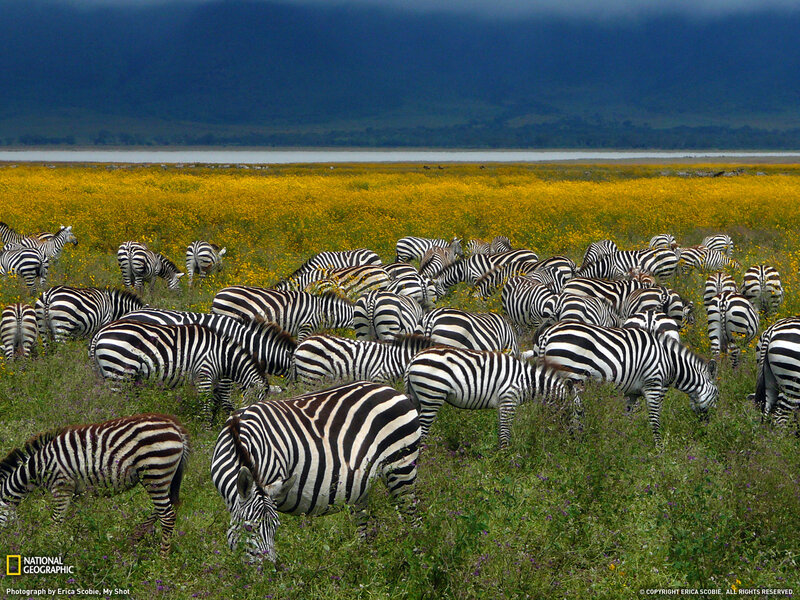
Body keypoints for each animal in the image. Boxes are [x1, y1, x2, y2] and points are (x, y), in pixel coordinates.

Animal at [0, 414, 189, 557]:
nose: (7, 548)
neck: (39, 467)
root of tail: (176, 428)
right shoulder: (78, 492)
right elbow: (76, 520)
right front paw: (77, 545)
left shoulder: (62, 486)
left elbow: (56, 522)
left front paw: (49, 548)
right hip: (162, 478)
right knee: (161, 509)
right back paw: (133, 538)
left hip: (155, 472)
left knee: (167, 515)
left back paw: (162, 560)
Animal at [90, 321, 269, 424]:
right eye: (256, 401)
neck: (222, 356)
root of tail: (101, 331)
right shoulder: (204, 373)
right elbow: (207, 404)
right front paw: (205, 428)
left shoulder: (216, 380)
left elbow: (220, 402)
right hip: (119, 372)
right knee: (114, 403)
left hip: (112, 373)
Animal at [211, 381, 420, 562]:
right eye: (248, 528)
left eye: (276, 527)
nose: (270, 571)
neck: (238, 441)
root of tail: (395, 391)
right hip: (363, 487)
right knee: (363, 527)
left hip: (401, 467)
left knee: (412, 518)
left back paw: (414, 562)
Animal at [404, 347, 583, 448]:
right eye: (579, 412)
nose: (579, 441)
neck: (526, 381)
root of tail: (413, 359)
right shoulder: (509, 401)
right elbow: (505, 433)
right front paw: (505, 459)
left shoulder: (502, 404)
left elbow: (501, 431)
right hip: (432, 396)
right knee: (422, 432)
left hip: (418, 398)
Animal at [536, 322, 718, 448]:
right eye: (717, 395)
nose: (707, 428)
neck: (671, 363)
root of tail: (548, 333)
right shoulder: (654, 385)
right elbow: (655, 418)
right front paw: (659, 449)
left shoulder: (632, 393)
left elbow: (628, 417)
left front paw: (626, 441)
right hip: (573, 376)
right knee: (568, 411)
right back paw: (572, 440)